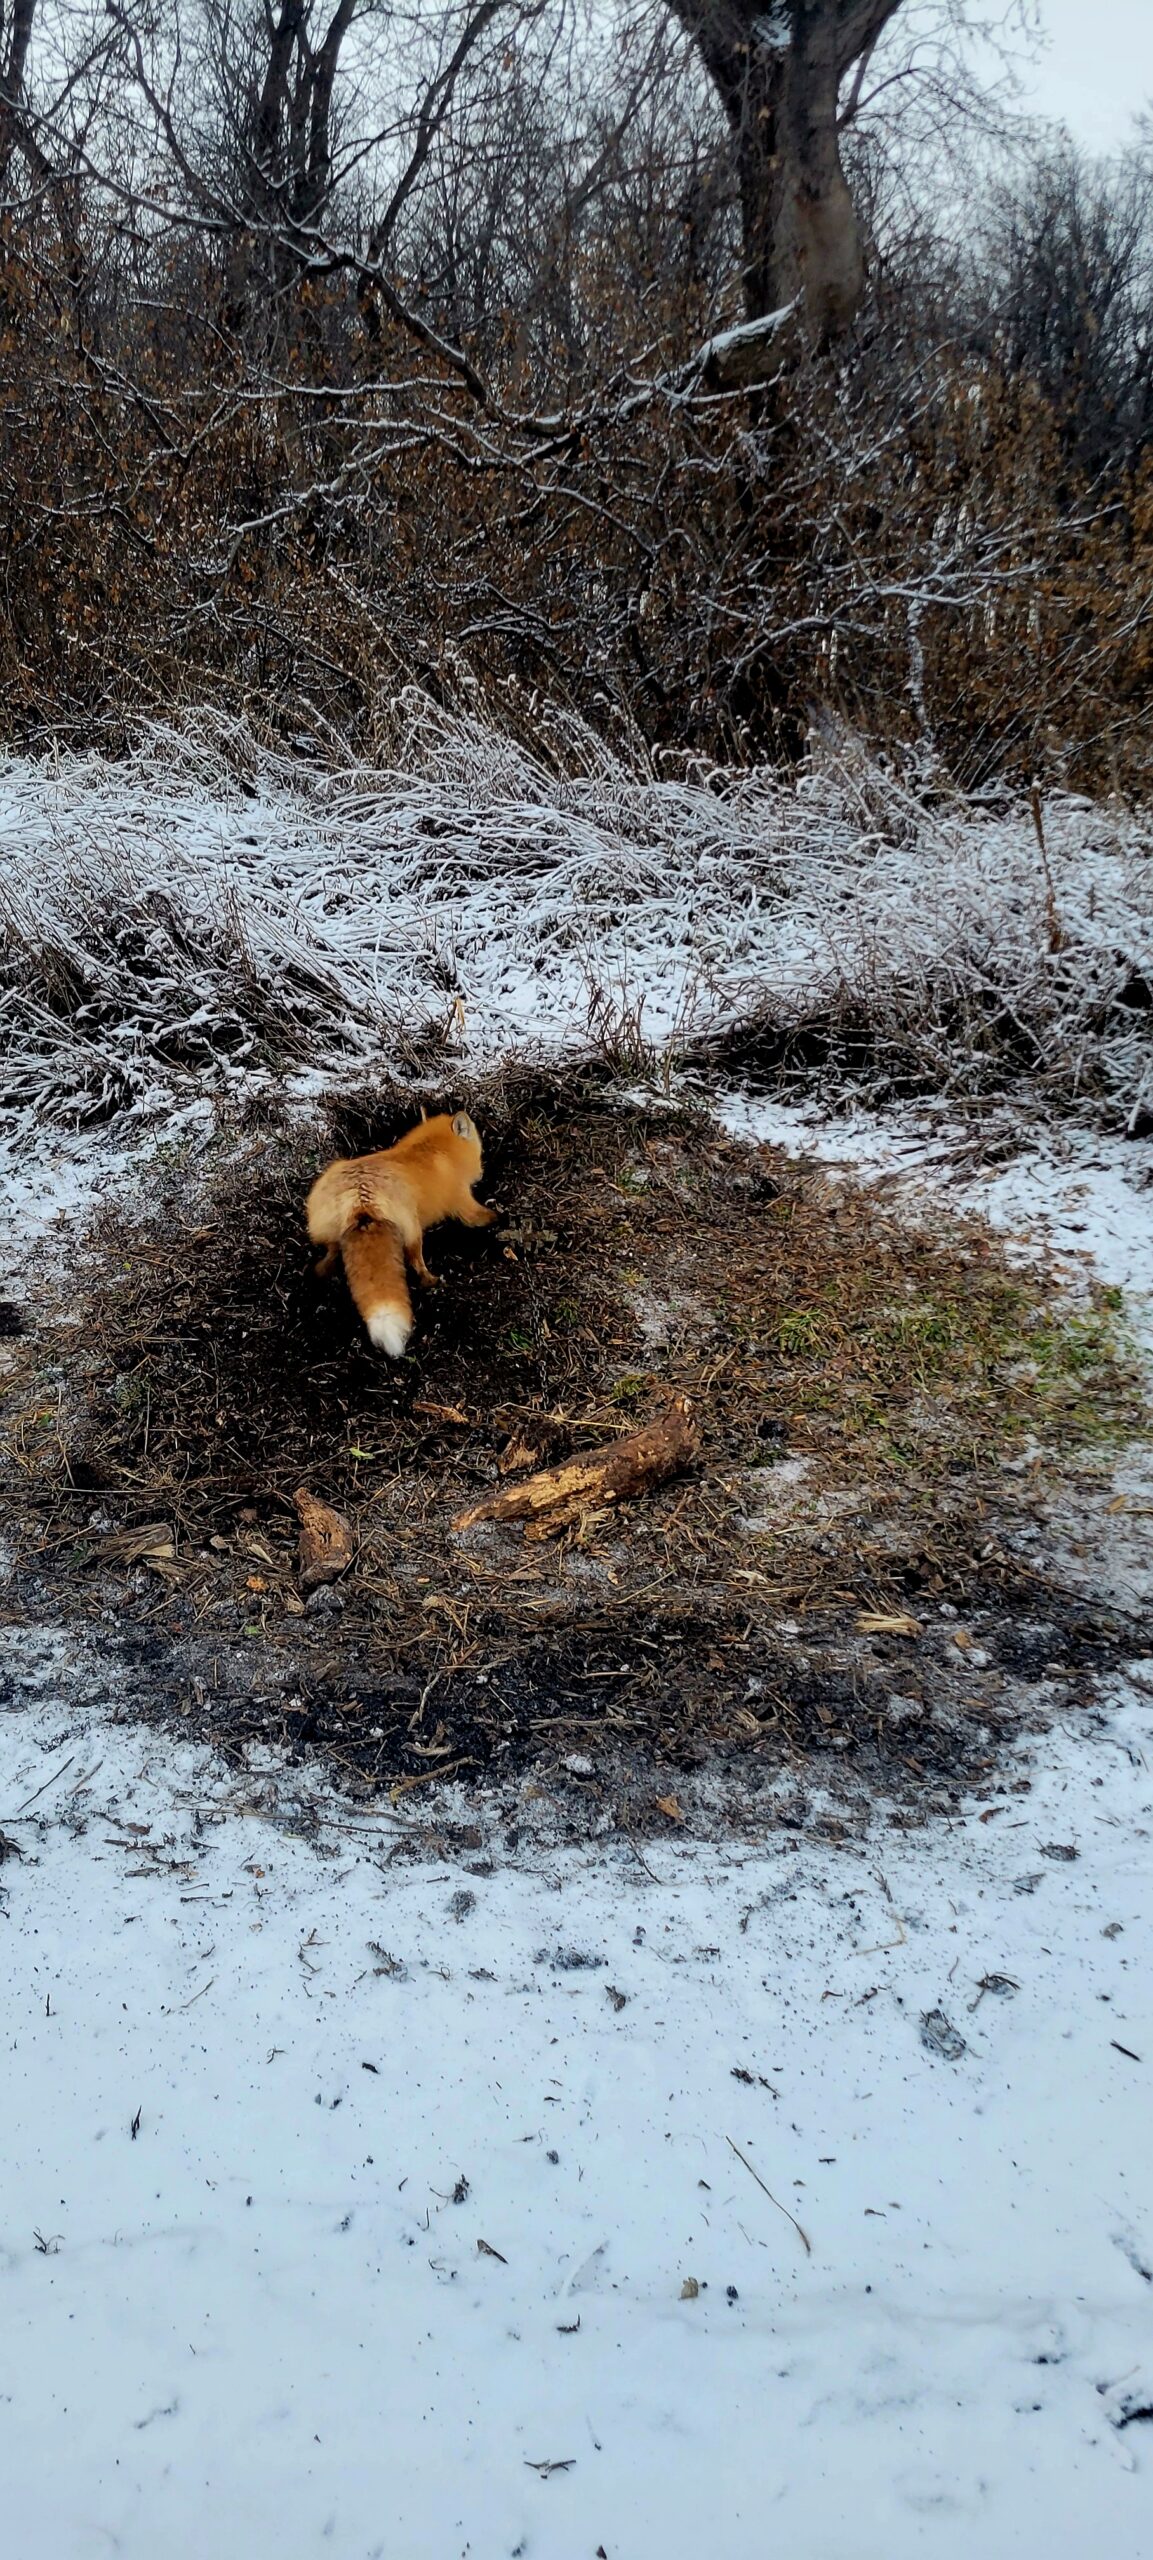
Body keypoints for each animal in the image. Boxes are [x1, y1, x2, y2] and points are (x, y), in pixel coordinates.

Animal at [305, 1110, 497, 1358]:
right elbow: (482, 1217)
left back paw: (323, 1273)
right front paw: (502, 1218)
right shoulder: (463, 1202)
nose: (482, 1172)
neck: (438, 1152)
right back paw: (431, 1281)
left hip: (330, 1233)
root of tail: (360, 1196)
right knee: (416, 1261)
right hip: (413, 1231)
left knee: (328, 1257)